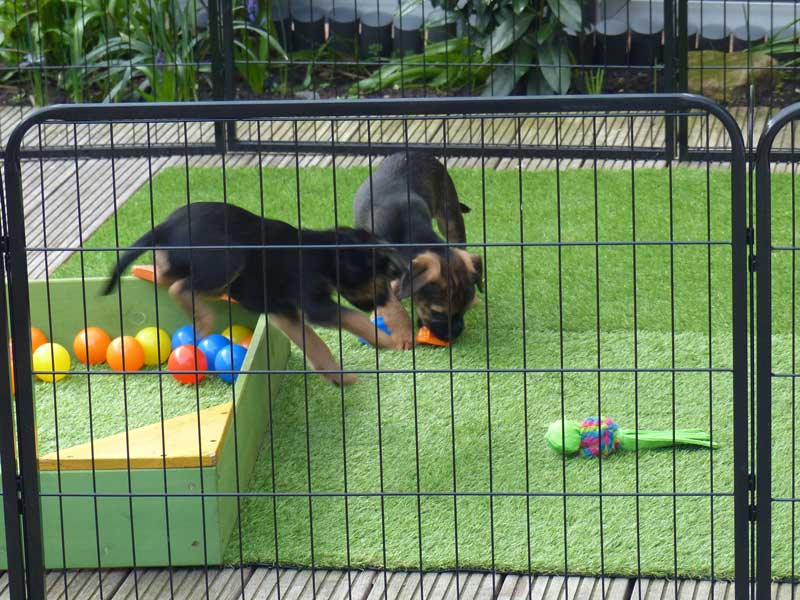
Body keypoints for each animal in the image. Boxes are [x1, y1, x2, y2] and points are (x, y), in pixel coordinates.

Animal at [102, 202, 406, 386]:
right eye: (381, 275)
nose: (382, 302)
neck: (323, 255)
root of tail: (164, 226)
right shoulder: (314, 304)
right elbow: (353, 318)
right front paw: (388, 340)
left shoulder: (282, 312)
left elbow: (314, 343)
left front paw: (337, 376)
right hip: (229, 258)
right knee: (180, 287)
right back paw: (203, 319)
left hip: (187, 263)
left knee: (166, 274)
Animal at [353, 152, 483, 348]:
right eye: (437, 313)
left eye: (464, 309)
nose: (455, 335)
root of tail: (410, 153)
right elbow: (392, 303)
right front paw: (404, 334)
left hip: (450, 213)